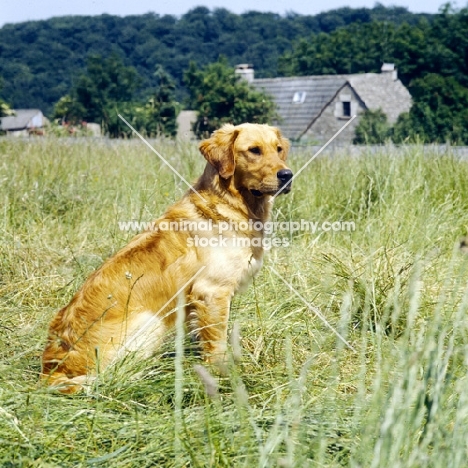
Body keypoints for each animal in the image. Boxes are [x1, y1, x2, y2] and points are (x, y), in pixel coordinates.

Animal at [42, 122, 294, 394]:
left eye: (278, 149)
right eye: (254, 150)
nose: (287, 175)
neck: (230, 204)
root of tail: (51, 371)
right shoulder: (212, 293)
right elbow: (217, 345)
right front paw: (224, 377)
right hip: (152, 321)